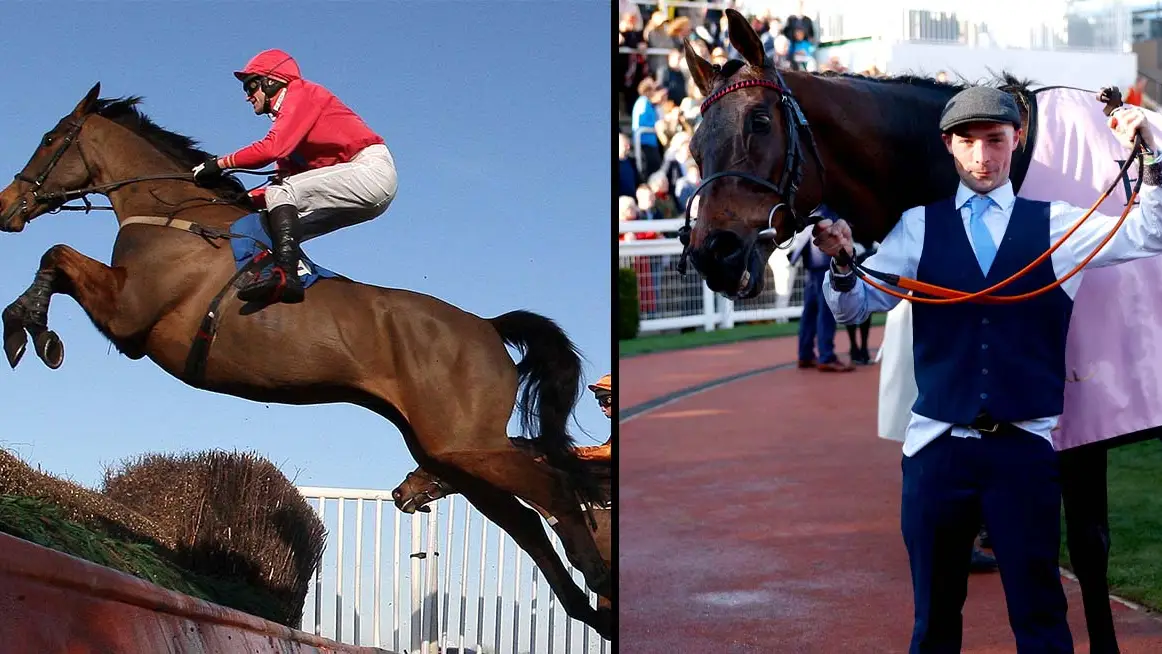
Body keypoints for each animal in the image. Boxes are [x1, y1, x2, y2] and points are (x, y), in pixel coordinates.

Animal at [0, 83, 611, 639]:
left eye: (49, 139)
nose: (7, 206)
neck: (171, 215)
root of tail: (488, 326)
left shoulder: (130, 316)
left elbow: (56, 254)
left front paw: (29, 328)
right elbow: (56, 260)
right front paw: (30, 326)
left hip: (466, 446)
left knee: (556, 490)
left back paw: (601, 579)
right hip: (450, 457)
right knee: (529, 521)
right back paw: (589, 609)